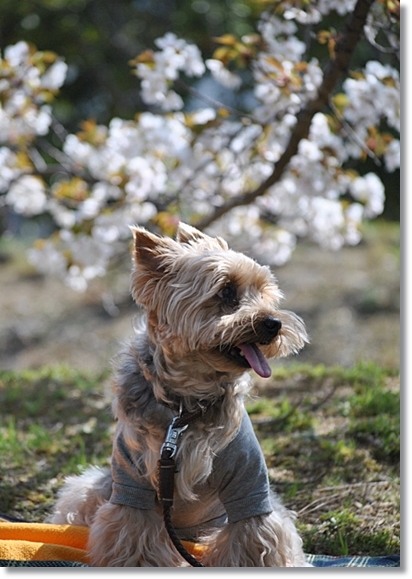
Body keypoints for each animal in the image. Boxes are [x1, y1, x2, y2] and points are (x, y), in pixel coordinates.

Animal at [47, 222, 308, 568]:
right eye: (226, 291)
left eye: (265, 293)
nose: (274, 323)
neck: (186, 406)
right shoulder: (132, 480)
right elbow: (133, 533)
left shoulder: (249, 480)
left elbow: (254, 534)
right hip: (98, 486)